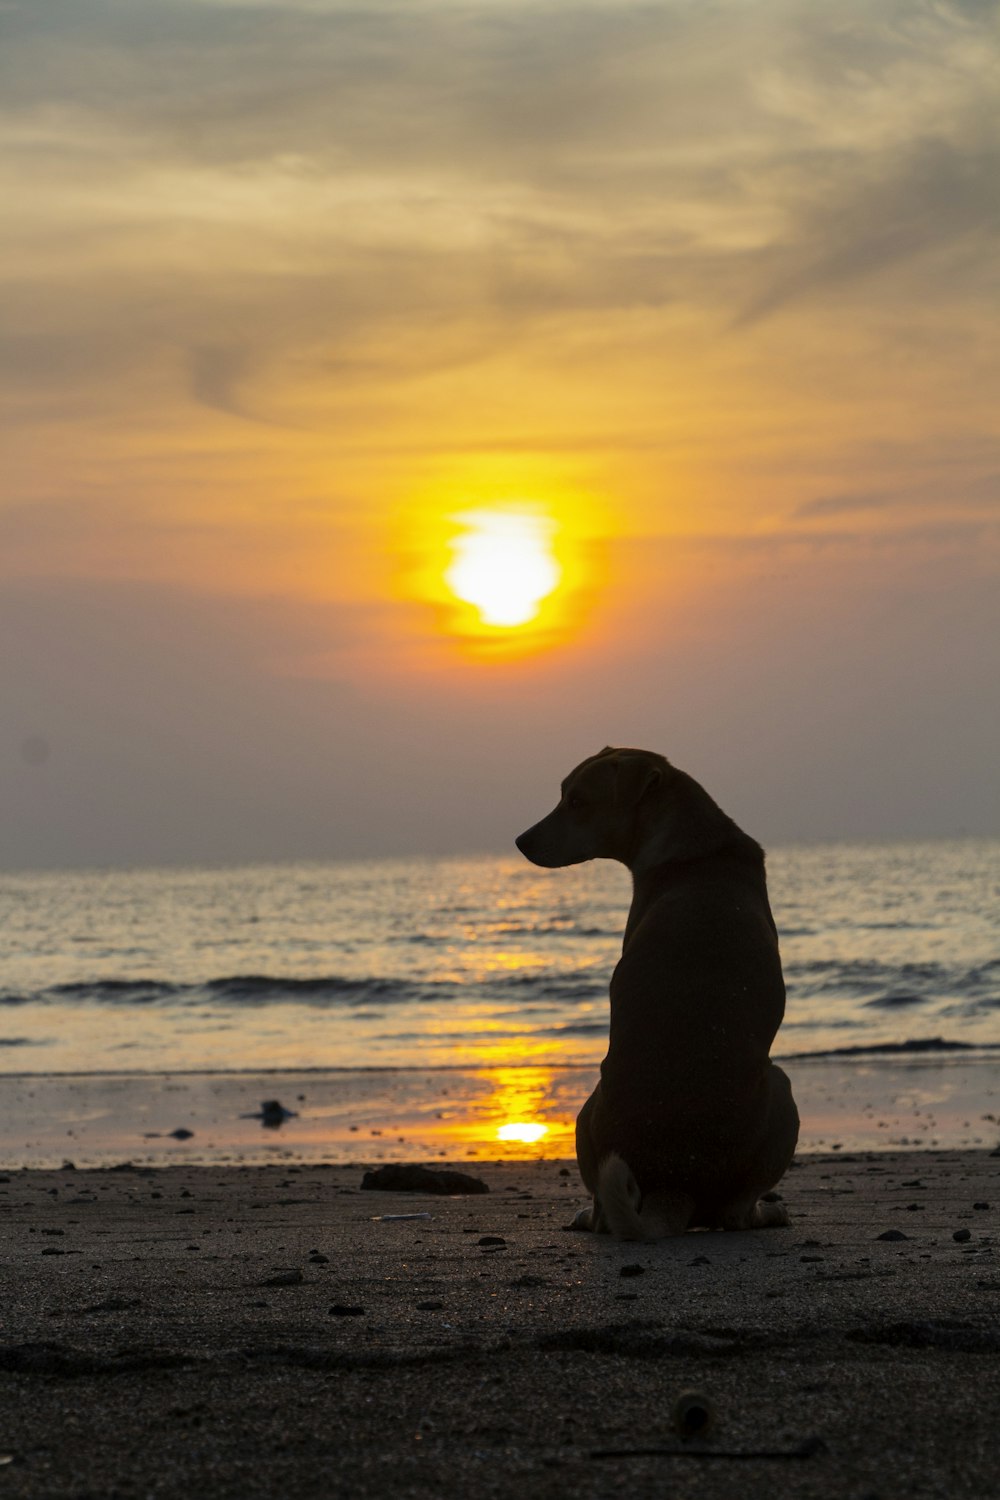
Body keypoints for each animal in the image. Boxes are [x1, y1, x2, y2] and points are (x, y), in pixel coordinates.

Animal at [515, 744, 797, 1236]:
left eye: (577, 801)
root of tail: (674, 1182)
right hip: (780, 1088)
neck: (696, 846)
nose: (521, 841)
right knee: (733, 1213)